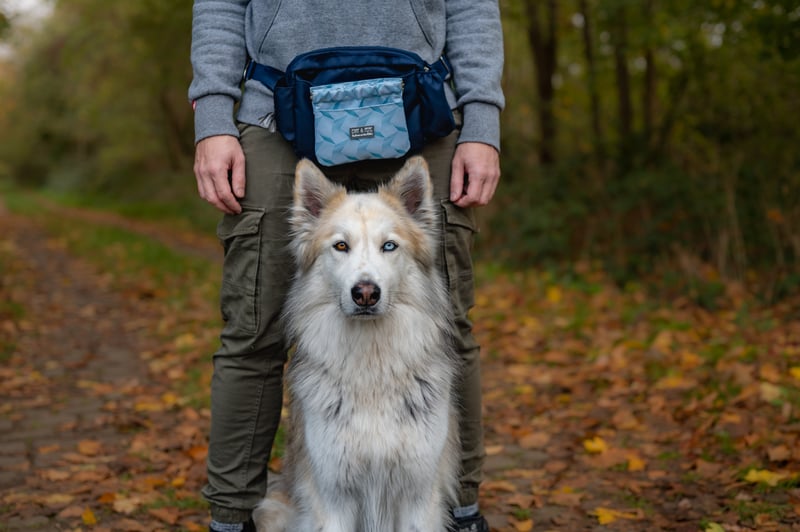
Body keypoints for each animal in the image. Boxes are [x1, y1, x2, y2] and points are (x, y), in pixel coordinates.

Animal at [253, 156, 460, 528]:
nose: (365, 293)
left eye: (389, 246)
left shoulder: (419, 497)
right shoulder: (334, 498)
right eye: (341, 246)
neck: (372, 366)